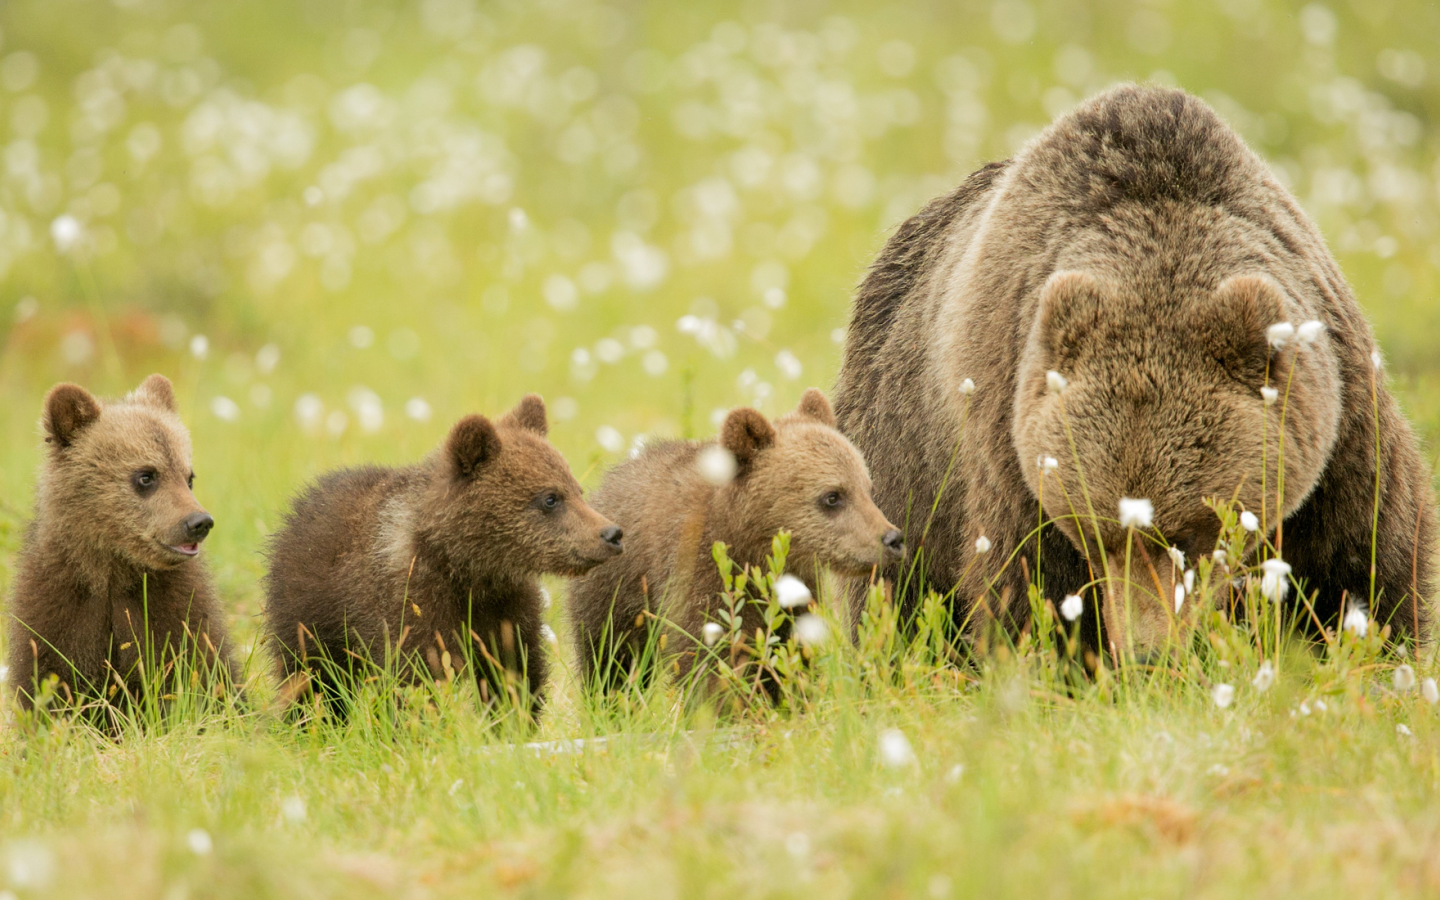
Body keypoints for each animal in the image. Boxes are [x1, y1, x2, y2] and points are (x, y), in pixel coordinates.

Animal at [840, 84, 1434, 656]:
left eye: (1191, 533)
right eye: (1094, 533)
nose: (1149, 653)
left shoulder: (1340, 431)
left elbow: (1363, 563)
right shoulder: (1008, 441)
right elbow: (1027, 587)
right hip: (903, 451)